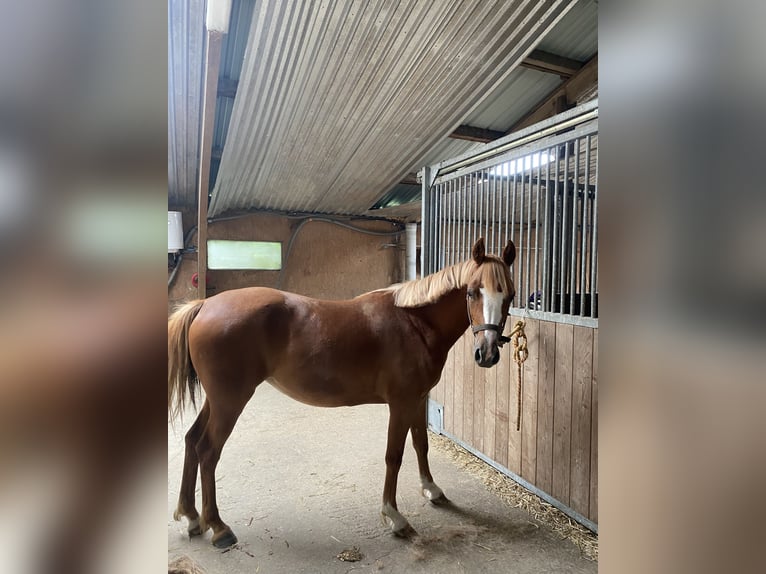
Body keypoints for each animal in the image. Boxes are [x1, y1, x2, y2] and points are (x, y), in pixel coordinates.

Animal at [168, 237, 516, 548]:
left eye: (510, 295)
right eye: (472, 292)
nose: (487, 354)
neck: (414, 322)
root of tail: (204, 305)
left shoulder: (418, 400)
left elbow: (421, 445)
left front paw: (431, 490)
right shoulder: (401, 403)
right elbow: (394, 455)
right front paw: (394, 517)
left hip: (217, 401)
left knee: (191, 440)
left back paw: (191, 517)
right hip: (230, 402)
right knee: (208, 451)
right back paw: (219, 528)